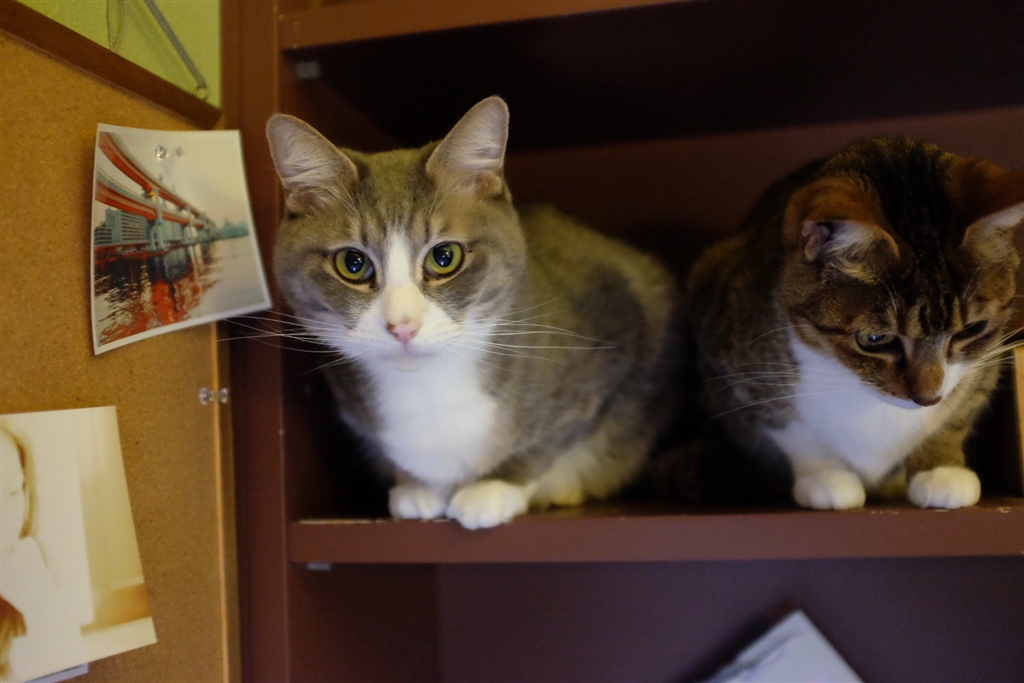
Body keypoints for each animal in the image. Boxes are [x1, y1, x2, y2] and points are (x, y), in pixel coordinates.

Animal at [266, 96, 679, 529]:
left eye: (444, 256)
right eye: (352, 263)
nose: (403, 326)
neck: (428, 390)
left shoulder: (611, 345)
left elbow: (553, 437)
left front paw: (494, 487)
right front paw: (415, 486)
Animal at [675, 137, 1024, 510]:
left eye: (971, 330)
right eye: (874, 339)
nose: (928, 399)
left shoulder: (987, 361)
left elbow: (959, 410)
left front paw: (941, 468)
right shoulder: (733, 351)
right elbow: (787, 424)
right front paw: (826, 477)